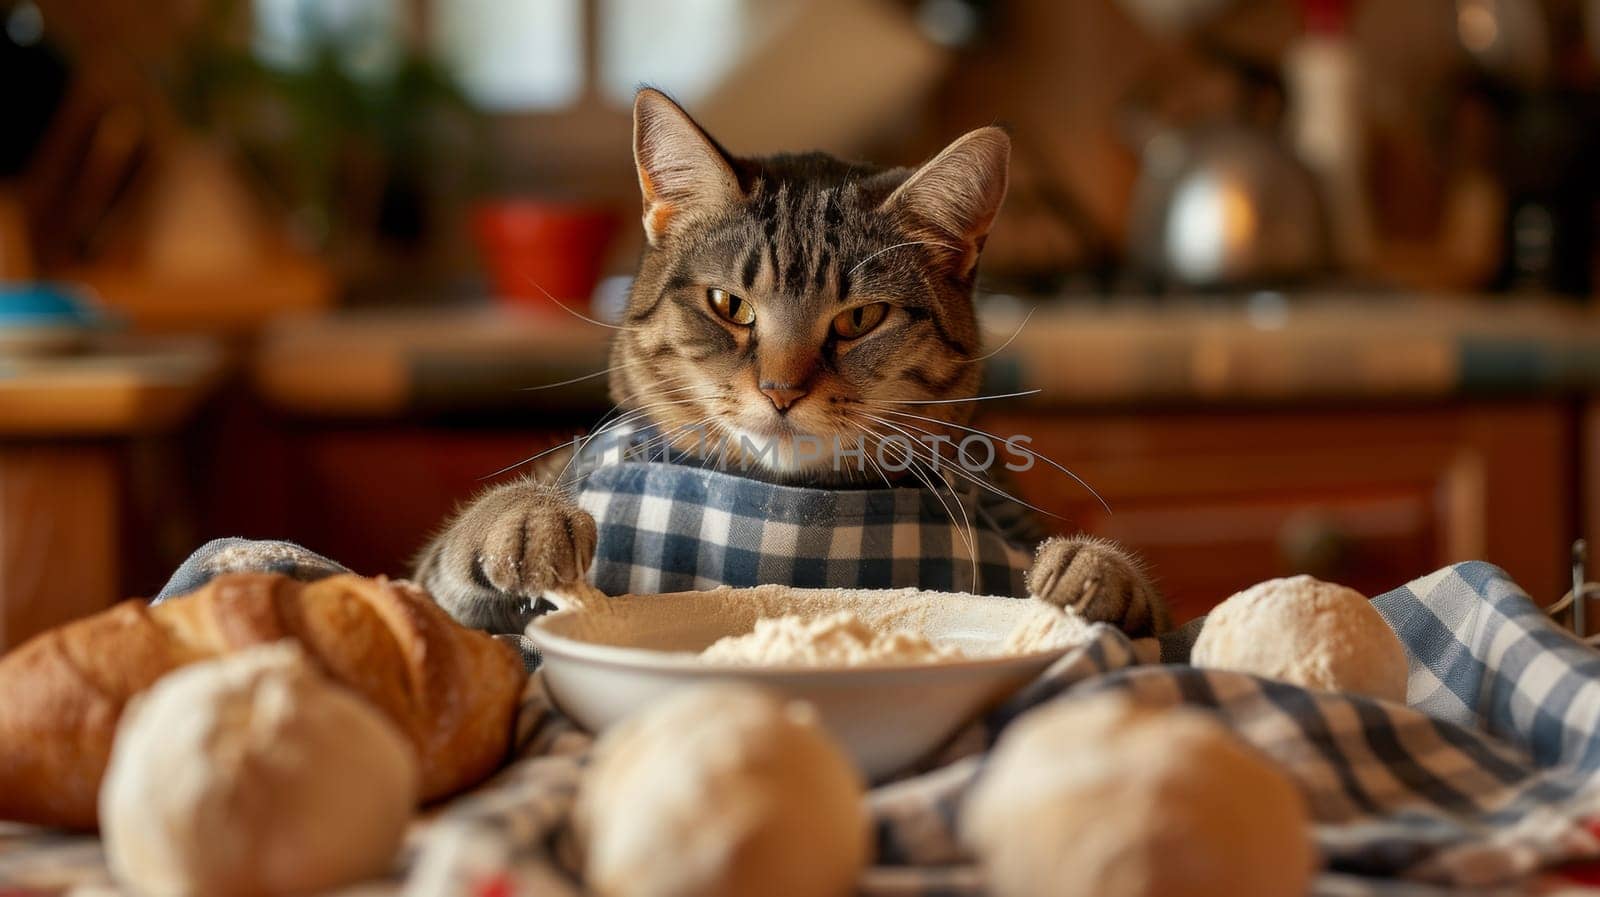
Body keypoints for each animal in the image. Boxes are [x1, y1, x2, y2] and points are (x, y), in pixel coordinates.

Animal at [409, 87, 1164, 636]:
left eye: (859, 319)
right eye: (728, 304)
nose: (780, 390)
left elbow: (1150, 612)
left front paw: (1095, 570)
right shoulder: (436, 584)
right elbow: (451, 565)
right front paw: (526, 518)